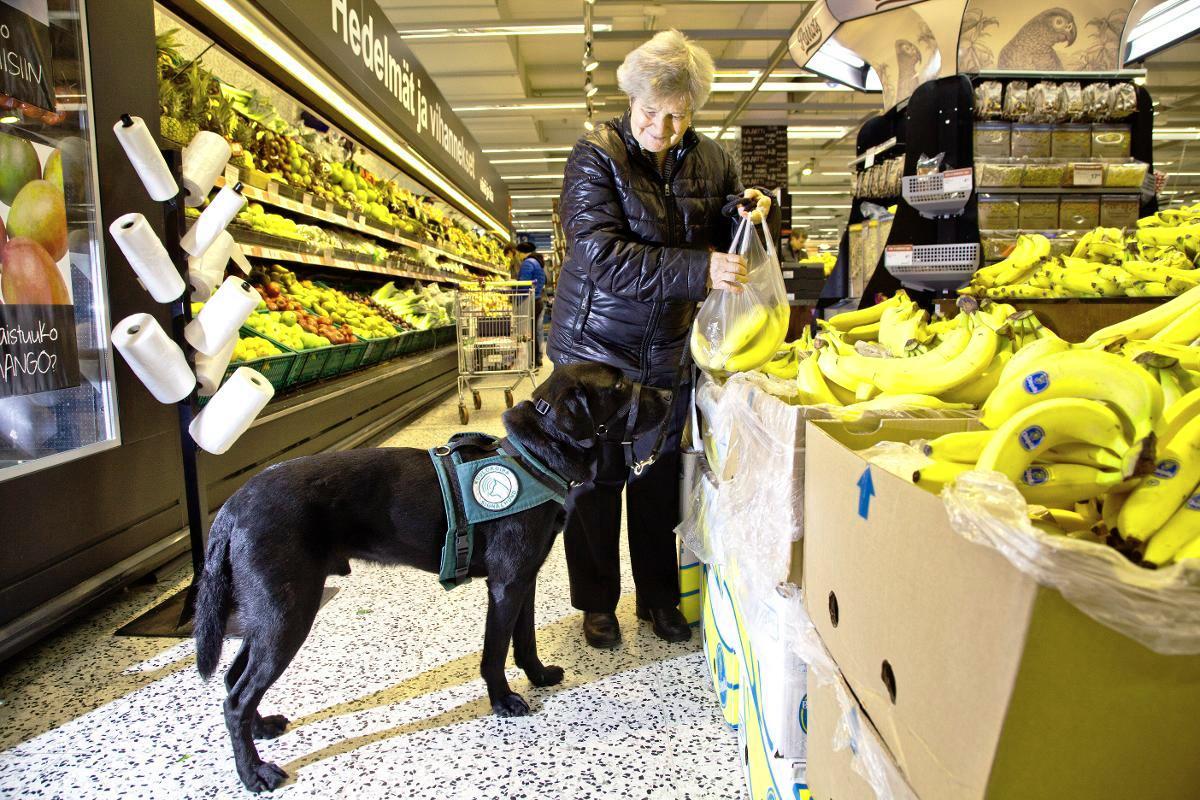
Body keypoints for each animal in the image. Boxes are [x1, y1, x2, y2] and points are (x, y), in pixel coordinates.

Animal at [192, 364, 672, 796]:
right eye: (619, 385)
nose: (670, 395)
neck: (532, 457)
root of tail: (232, 506)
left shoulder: (525, 580)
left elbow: (526, 640)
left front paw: (537, 676)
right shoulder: (505, 585)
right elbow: (495, 653)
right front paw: (503, 701)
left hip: (268, 614)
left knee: (234, 680)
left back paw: (262, 728)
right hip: (287, 612)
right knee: (236, 698)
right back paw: (253, 773)